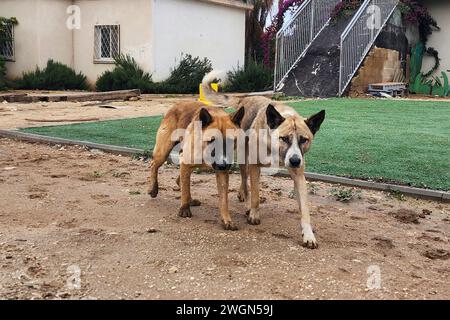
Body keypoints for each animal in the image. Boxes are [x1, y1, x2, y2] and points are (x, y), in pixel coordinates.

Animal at [147, 100, 246, 230]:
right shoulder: (186, 161)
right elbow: (185, 190)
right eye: (211, 141)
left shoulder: (222, 173)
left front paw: (227, 220)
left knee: (181, 180)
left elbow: (224, 200)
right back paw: (153, 189)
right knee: (154, 165)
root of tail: (177, 104)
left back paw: (190, 200)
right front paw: (184, 209)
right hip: (163, 152)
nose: (222, 164)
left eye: (230, 141)